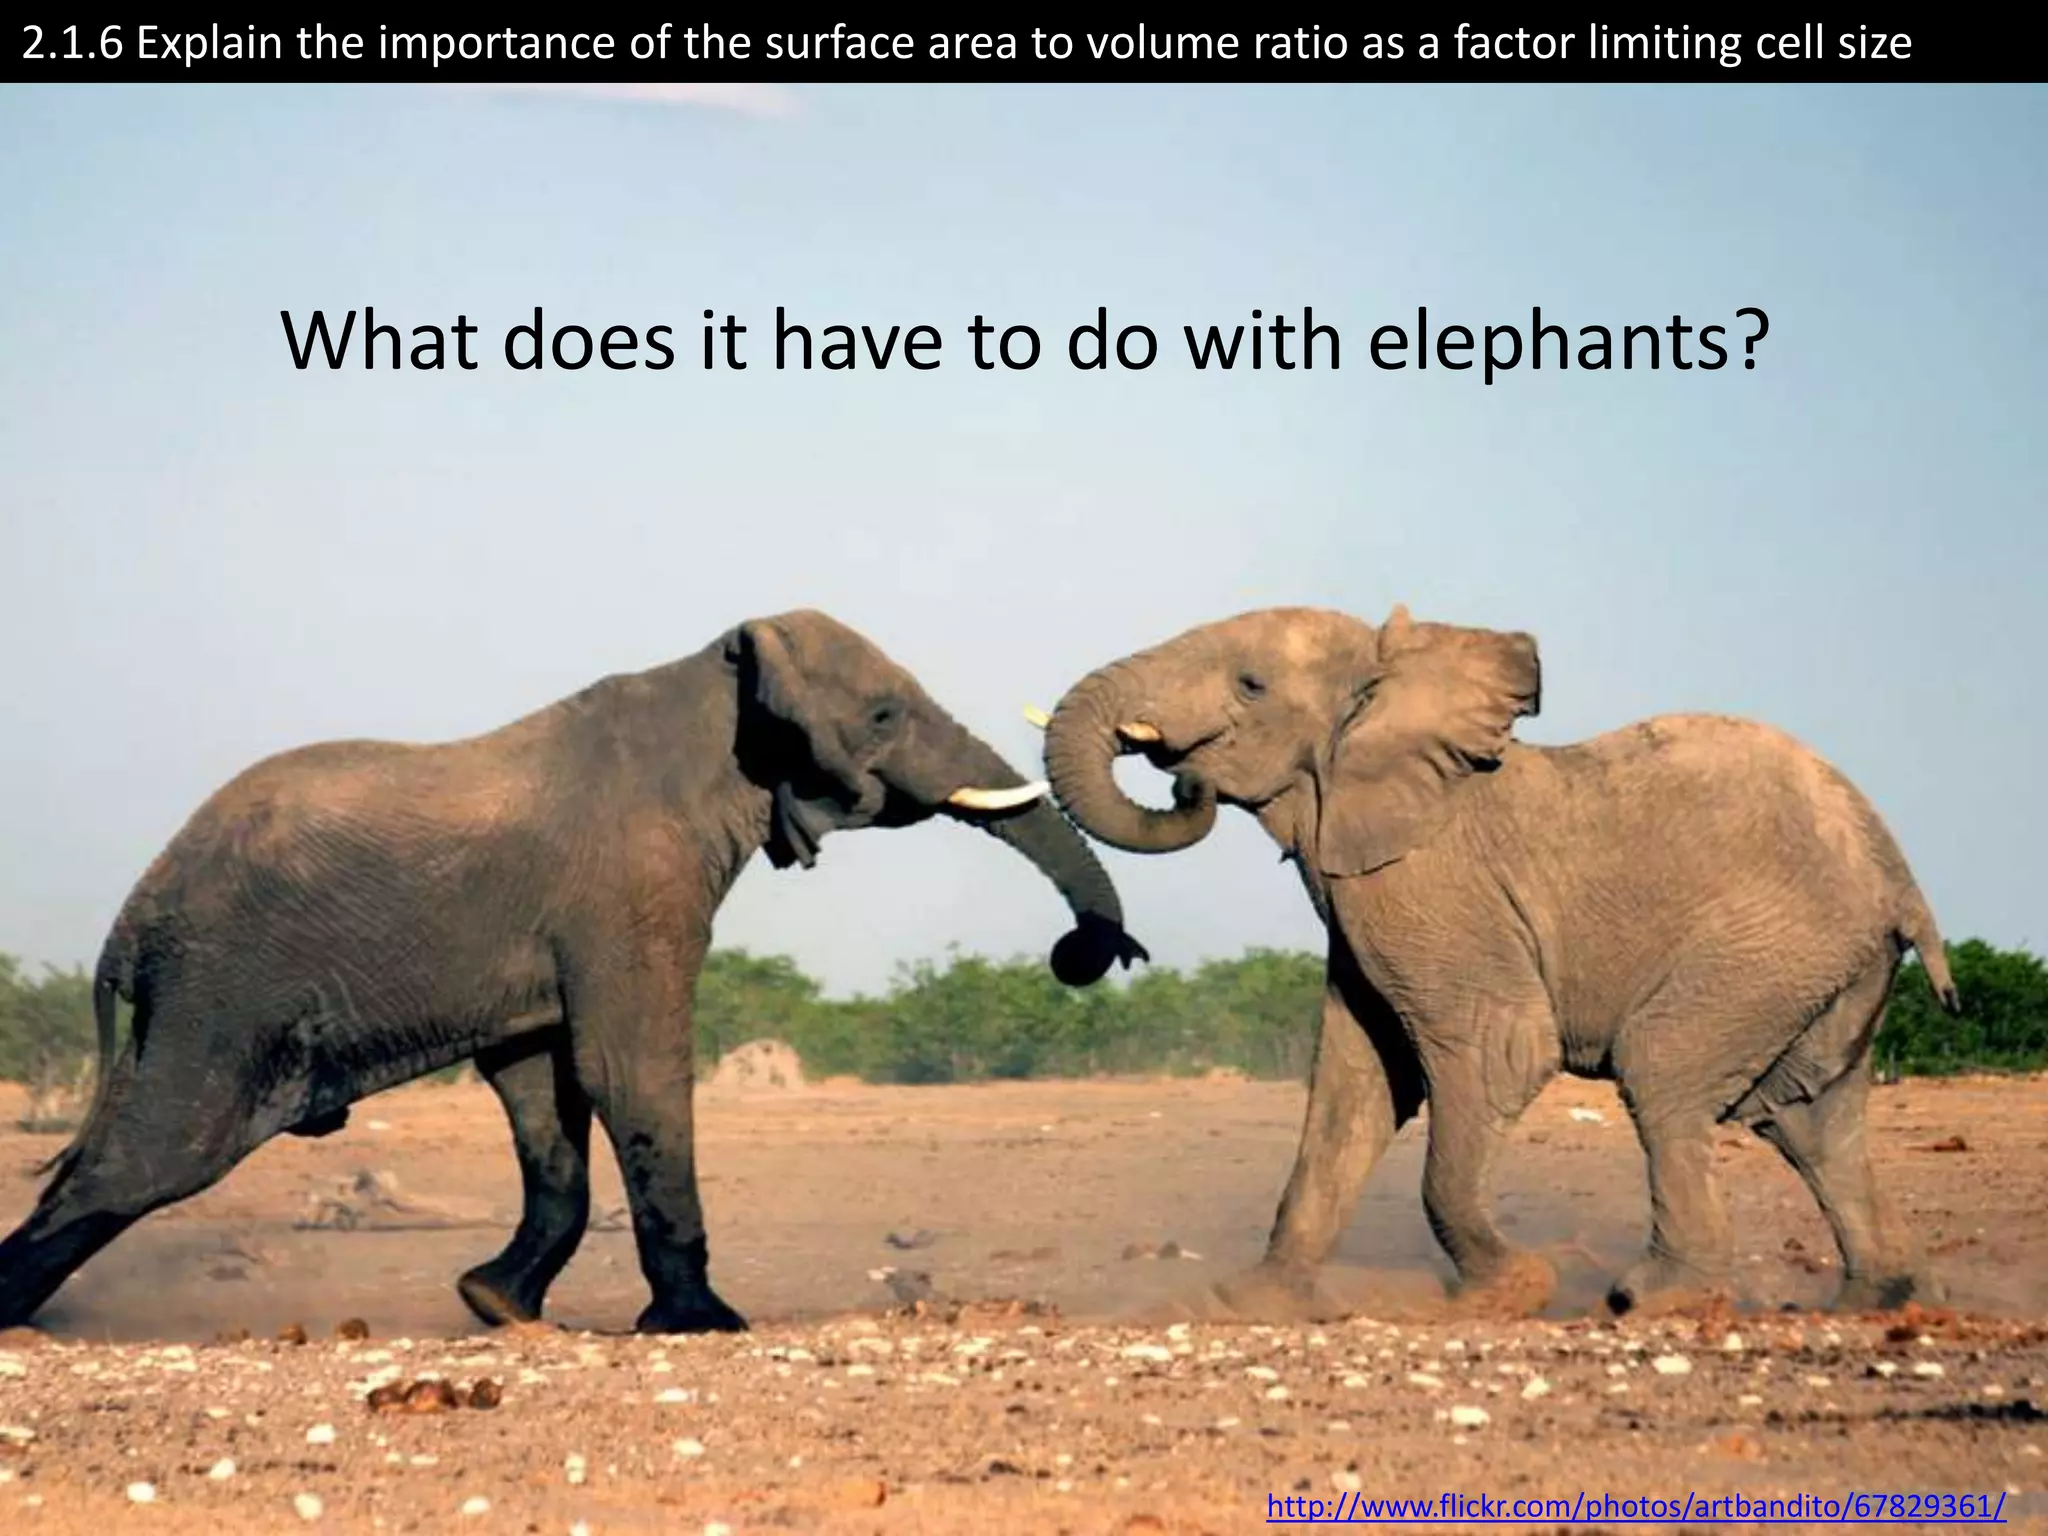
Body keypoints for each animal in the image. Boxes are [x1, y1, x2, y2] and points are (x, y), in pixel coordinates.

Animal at [0, 609, 1148, 1335]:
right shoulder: (633, 885)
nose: (1090, 956)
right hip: (223, 990)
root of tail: (131, 917)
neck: (709, 678)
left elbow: (543, 1093)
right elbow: (629, 1069)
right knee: (152, 1156)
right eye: (882, 717)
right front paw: (702, 1326)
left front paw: (494, 1305)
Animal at [1041, 602, 1960, 1317]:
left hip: (1769, 942)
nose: (1180, 776)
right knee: (1810, 1119)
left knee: (1666, 1071)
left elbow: (1497, 1052)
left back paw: (1647, 1300)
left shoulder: (1426, 887)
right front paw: (1248, 1304)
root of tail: (1895, 871)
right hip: (1827, 965)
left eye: (1250, 685)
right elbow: (1356, 1082)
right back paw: (1868, 1300)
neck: (1389, 690)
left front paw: (1509, 1292)